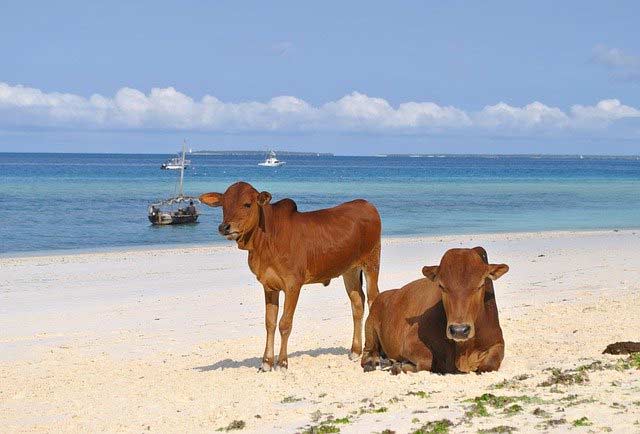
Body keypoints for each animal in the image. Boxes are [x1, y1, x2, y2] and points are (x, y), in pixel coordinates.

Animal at [200, 181, 380, 372]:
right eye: (224, 205)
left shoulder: (293, 285)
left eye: (247, 204)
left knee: (373, 299)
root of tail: (367, 204)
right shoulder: (269, 286)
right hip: (349, 270)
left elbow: (284, 324)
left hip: (371, 263)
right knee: (357, 304)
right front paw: (266, 362)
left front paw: (282, 362)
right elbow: (270, 323)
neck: (266, 239)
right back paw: (355, 351)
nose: (224, 227)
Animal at [362, 248, 508, 372]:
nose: (459, 331)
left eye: (480, 285)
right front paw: (401, 365)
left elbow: (490, 364)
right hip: (370, 327)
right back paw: (374, 362)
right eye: (441, 286)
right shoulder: (410, 342)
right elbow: (427, 360)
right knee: (367, 353)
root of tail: (384, 295)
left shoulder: (498, 343)